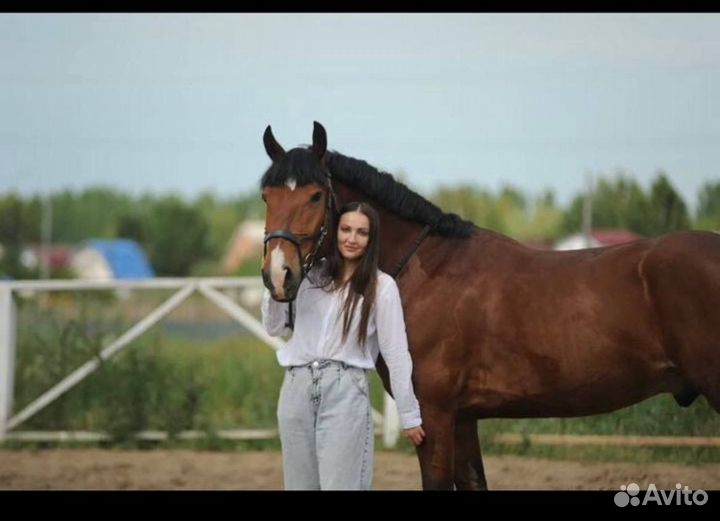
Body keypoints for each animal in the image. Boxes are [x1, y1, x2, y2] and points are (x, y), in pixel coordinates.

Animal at [259, 121, 720, 490]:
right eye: (266, 196)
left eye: (316, 196)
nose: (278, 274)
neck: (425, 269)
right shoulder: (463, 419)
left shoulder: (434, 415)